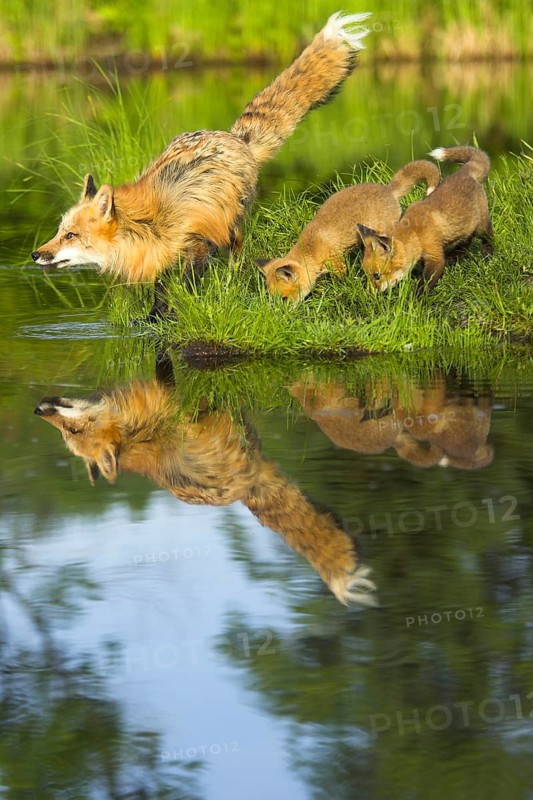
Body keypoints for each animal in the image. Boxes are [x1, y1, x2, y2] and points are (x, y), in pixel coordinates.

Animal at [30, 12, 371, 320]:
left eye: (71, 235)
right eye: (60, 231)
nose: (36, 254)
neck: (150, 225)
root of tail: (234, 137)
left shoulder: (196, 242)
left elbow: (187, 284)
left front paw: (180, 311)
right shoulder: (159, 258)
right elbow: (160, 290)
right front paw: (155, 318)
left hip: (233, 224)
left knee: (237, 255)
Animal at [259, 159, 440, 301]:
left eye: (283, 299)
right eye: (272, 299)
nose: (280, 315)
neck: (312, 249)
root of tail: (388, 190)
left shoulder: (337, 262)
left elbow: (341, 280)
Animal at [357, 145, 493, 292]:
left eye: (376, 276)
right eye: (367, 276)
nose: (370, 294)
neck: (416, 234)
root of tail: (465, 171)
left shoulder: (435, 256)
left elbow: (424, 284)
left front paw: (414, 297)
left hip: (481, 227)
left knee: (488, 237)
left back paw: (489, 255)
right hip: (465, 228)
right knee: (466, 242)